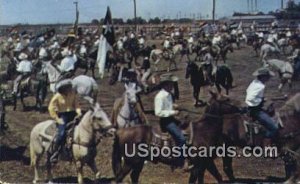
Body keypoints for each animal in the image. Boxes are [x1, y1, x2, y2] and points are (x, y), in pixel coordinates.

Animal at [111, 91, 240, 183]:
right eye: (226, 99)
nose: (240, 108)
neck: (204, 130)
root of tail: (120, 132)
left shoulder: (204, 164)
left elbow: (214, 177)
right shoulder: (199, 165)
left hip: (139, 162)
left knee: (134, 177)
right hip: (130, 162)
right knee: (119, 178)